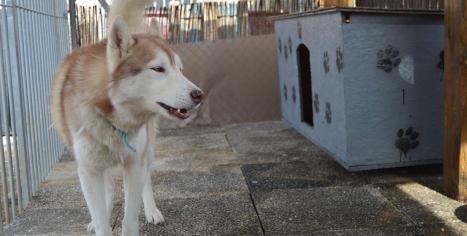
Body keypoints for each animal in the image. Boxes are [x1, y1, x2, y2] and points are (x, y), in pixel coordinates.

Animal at [49, 0, 203, 235]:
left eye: (180, 69)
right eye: (158, 69)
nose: (199, 95)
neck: (111, 118)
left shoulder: (134, 163)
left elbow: (130, 218)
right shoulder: (88, 170)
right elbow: (102, 219)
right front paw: (100, 220)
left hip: (147, 149)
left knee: (145, 179)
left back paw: (152, 210)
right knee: (109, 187)